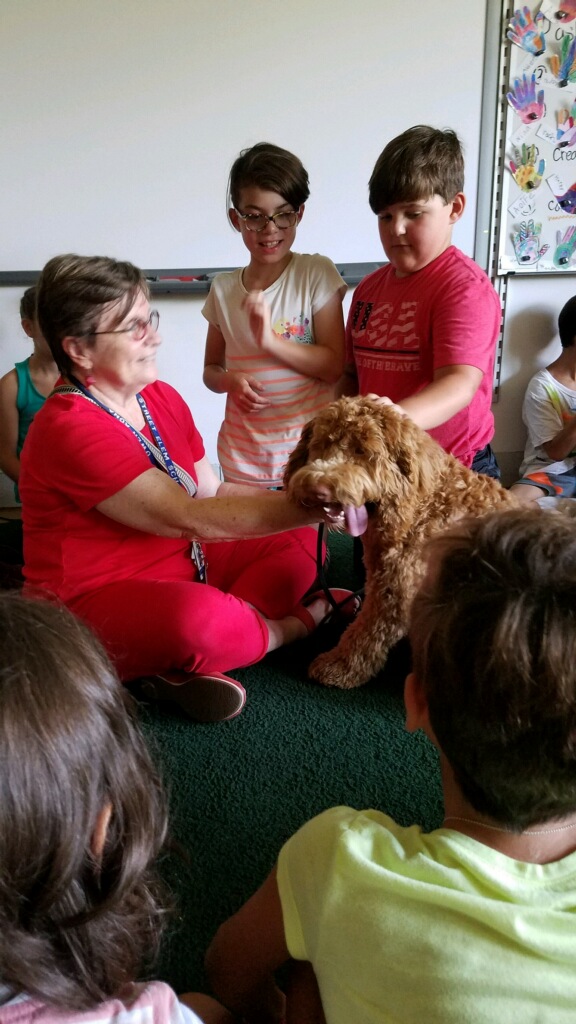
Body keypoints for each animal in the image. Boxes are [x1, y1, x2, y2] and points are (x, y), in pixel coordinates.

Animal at [282, 395, 516, 692]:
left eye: (362, 451)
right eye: (322, 443)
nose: (319, 488)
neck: (420, 506)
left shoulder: (394, 593)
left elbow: (364, 636)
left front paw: (339, 667)